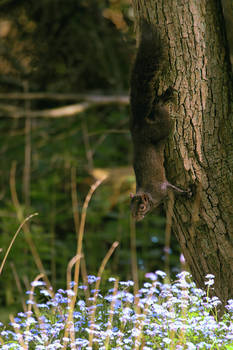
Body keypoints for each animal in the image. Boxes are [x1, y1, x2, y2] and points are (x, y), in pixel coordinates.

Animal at [129, 19, 191, 220]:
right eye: (130, 209)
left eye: (141, 207)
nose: (136, 219)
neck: (150, 195)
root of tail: (137, 126)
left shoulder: (161, 188)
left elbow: (173, 189)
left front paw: (187, 192)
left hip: (161, 127)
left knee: (162, 115)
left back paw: (163, 100)